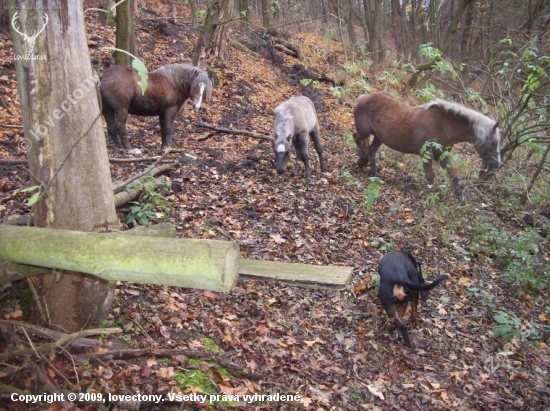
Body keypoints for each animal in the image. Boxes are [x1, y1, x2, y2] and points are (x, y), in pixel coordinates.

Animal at [354, 92, 504, 199]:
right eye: (494, 142)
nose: (497, 165)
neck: (443, 125)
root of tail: (363, 97)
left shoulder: (441, 154)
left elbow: (453, 175)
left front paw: (460, 199)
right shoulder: (426, 152)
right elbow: (430, 175)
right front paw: (431, 195)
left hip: (379, 137)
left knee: (372, 150)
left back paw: (374, 173)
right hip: (365, 132)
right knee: (356, 138)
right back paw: (362, 160)